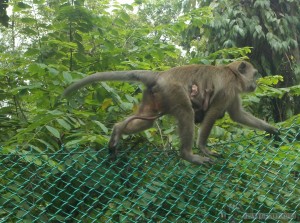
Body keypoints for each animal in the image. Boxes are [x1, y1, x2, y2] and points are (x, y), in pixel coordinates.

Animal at [63, 61, 278, 166]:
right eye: (255, 74)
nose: (256, 83)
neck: (232, 74)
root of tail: (160, 75)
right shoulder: (228, 88)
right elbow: (214, 113)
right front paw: (203, 148)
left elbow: (237, 115)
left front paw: (271, 129)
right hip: (172, 91)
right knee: (186, 112)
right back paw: (188, 155)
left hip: (154, 96)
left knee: (147, 122)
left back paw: (117, 131)